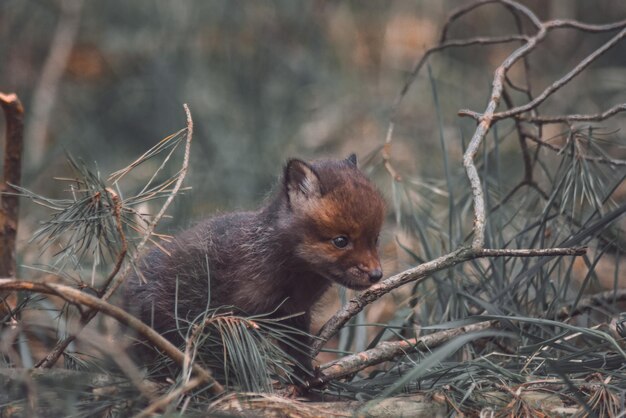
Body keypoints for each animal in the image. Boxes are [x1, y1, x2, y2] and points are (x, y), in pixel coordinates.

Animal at [124, 155, 382, 380]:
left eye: (375, 239)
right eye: (341, 241)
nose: (377, 275)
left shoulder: (295, 314)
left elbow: (299, 353)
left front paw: (306, 379)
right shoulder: (230, 318)